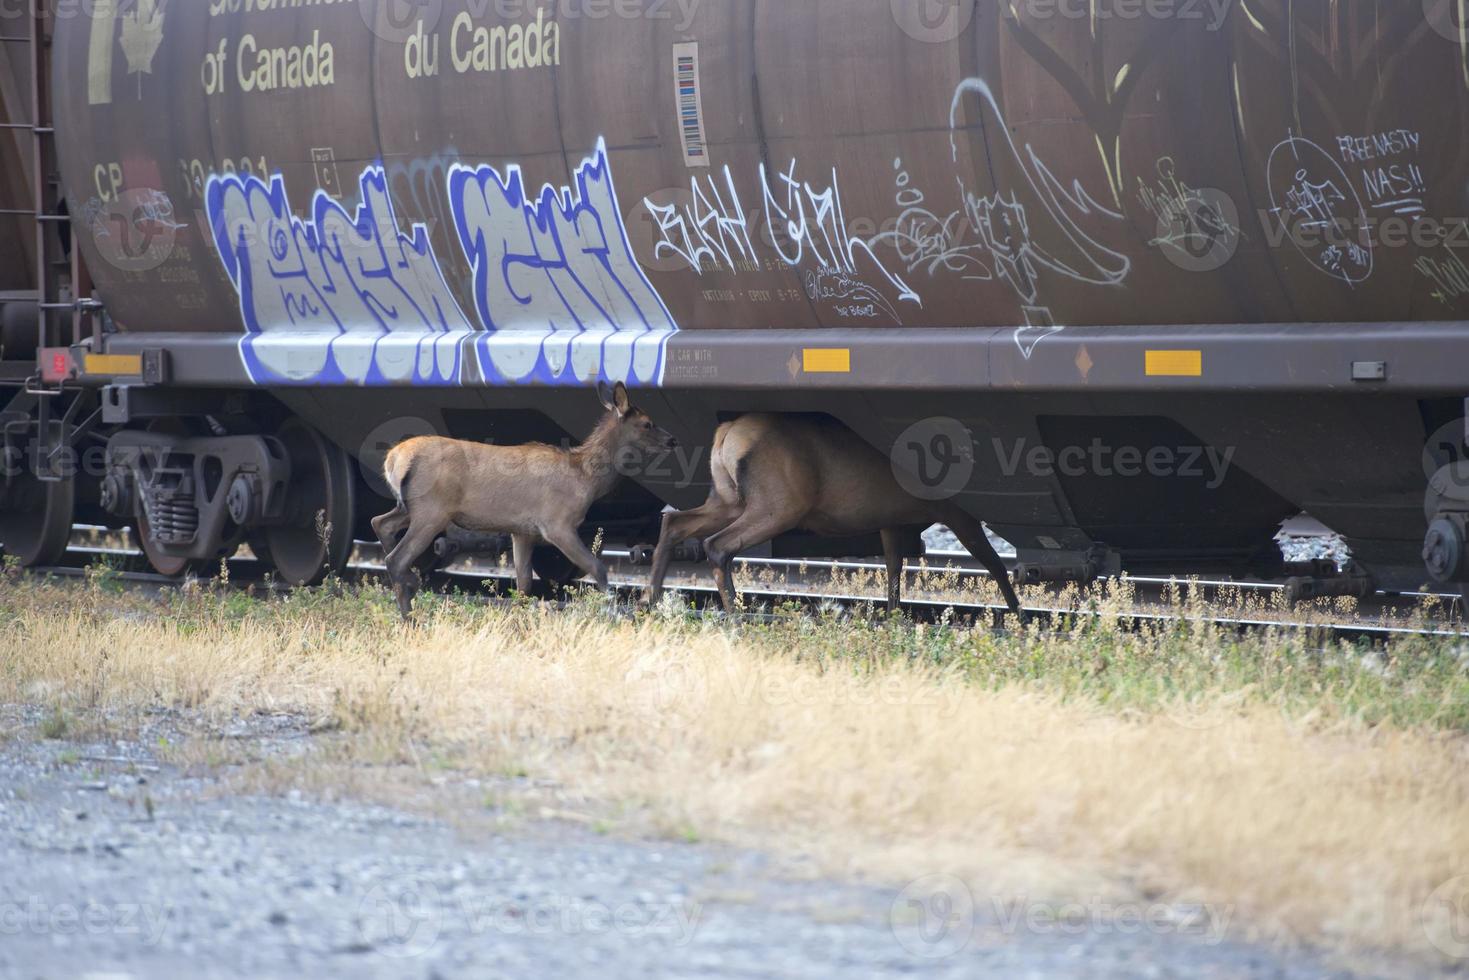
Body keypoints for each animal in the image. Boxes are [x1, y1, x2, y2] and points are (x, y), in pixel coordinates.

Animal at [376, 382, 678, 617]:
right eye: (647, 423)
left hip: (411, 508)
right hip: (432, 510)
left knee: (380, 522)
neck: (585, 479)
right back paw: (410, 614)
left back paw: (410, 587)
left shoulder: (522, 531)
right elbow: (597, 567)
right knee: (395, 557)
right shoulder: (556, 523)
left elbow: (523, 586)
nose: (672, 440)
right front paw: (615, 611)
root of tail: (394, 458)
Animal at [649, 411, 1028, 614]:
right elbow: (995, 564)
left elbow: (893, 569)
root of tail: (724, 435)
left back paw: (651, 600)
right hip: (779, 503)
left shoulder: (891, 520)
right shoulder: (957, 512)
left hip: (728, 498)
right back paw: (738, 614)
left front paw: (893, 616)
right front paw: (1018, 615)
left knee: (673, 521)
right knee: (717, 545)